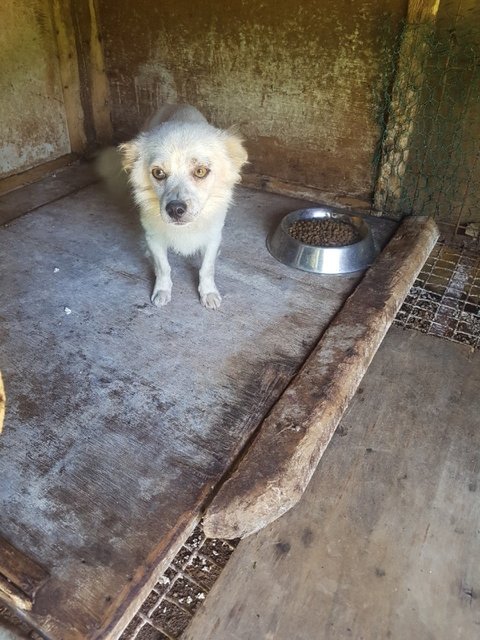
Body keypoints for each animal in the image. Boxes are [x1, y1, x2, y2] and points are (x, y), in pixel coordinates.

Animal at [116, 105, 248, 309]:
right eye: (158, 173)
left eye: (200, 171)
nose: (175, 210)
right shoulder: (153, 237)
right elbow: (163, 267)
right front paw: (162, 290)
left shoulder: (213, 236)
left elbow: (207, 268)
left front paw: (208, 293)